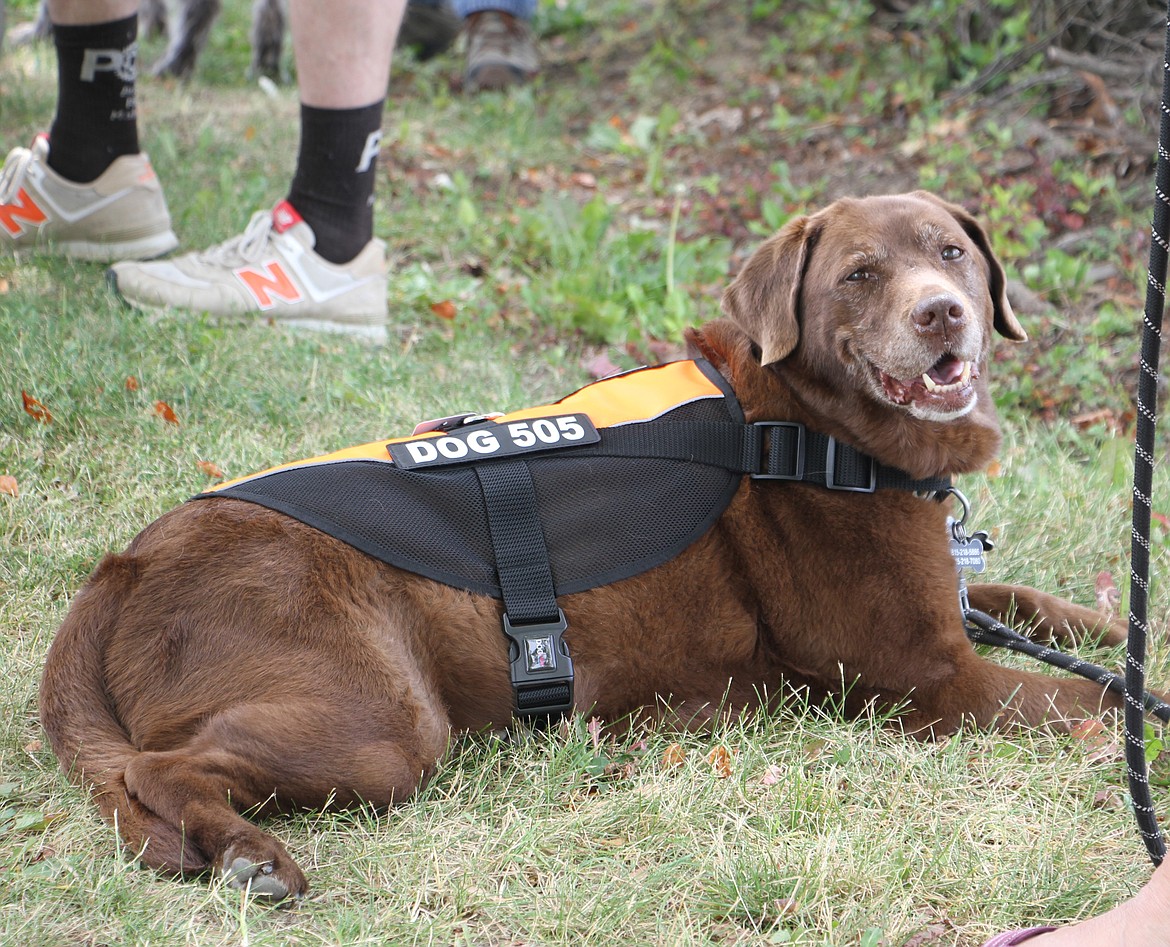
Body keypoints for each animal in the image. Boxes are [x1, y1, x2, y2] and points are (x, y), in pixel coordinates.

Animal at [41, 190, 1127, 894]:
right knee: (156, 770)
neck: (803, 425)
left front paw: (1120, 622)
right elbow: (1100, 701)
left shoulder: (955, 605)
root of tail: (123, 566)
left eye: (952, 254)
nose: (943, 313)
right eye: (862, 274)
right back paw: (252, 857)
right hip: (378, 723)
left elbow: (1045, 608)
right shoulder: (926, 677)